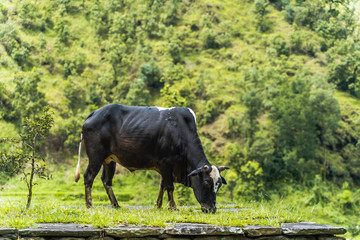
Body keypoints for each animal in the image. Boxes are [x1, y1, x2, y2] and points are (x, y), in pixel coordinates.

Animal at [74, 104, 229, 213]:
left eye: (219, 185)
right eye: (206, 183)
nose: (211, 209)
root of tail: (95, 113)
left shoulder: (164, 166)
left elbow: (162, 185)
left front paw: (158, 205)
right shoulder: (166, 162)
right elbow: (169, 186)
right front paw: (173, 207)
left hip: (109, 160)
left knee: (107, 181)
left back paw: (116, 205)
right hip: (96, 156)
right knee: (88, 177)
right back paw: (89, 205)